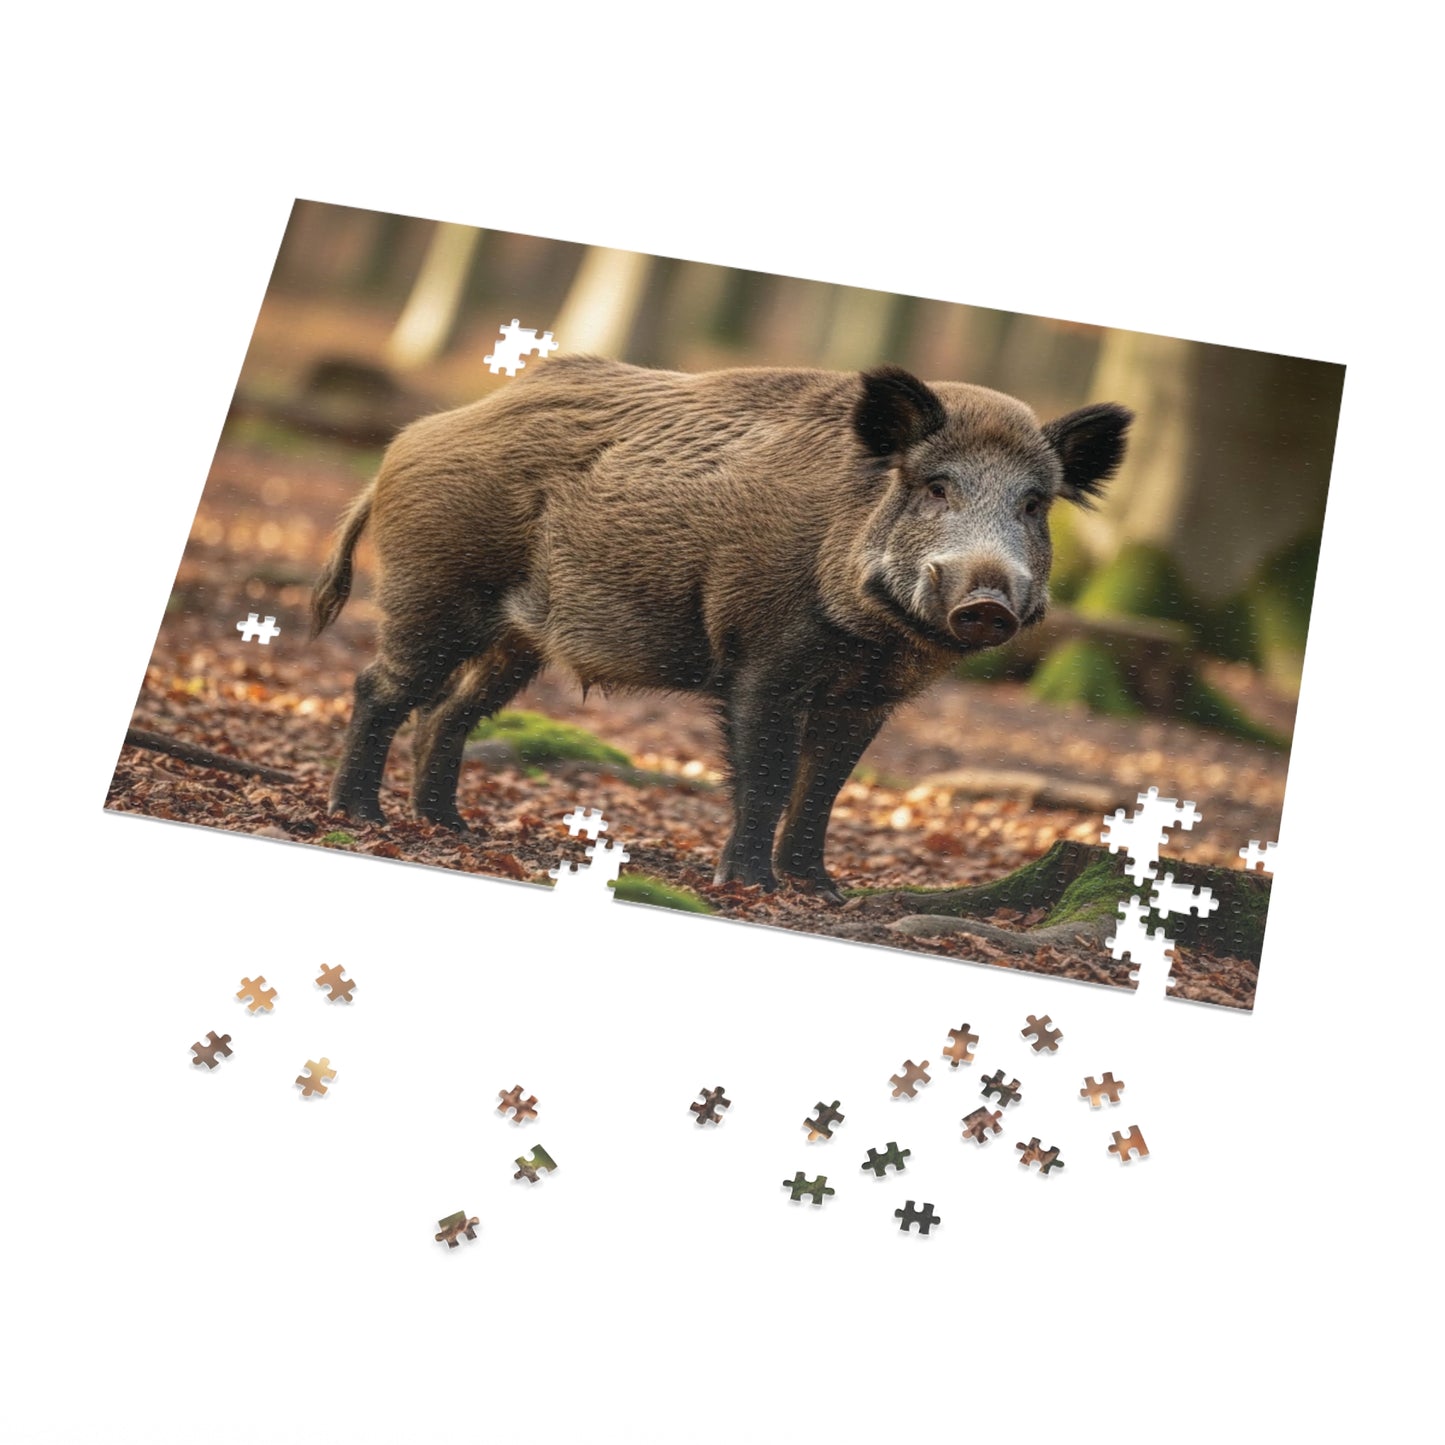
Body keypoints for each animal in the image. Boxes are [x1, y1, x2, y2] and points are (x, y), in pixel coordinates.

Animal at [311, 357, 1130, 899]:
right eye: (934, 487)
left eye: (1033, 504)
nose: (985, 601)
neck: (873, 638)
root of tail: (403, 443)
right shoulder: (763, 656)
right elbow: (766, 772)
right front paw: (752, 887)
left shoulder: (868, 697)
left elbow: (824, 784)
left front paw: (820, 890)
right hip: (434, 590)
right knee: (379, 686)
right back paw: (358, 813)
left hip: (516, 641)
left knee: (447, 712)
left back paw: (452, 828)